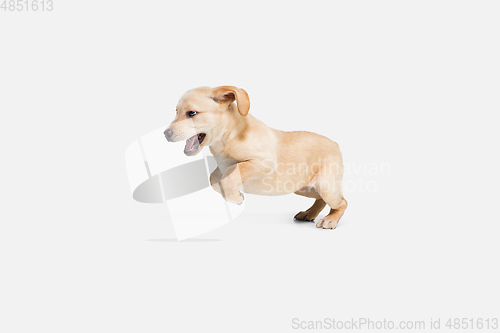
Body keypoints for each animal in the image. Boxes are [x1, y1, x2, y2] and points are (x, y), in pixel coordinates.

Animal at [165, 85, 348, 228]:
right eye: (176, 112)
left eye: (192, 113)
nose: (165, 134)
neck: (227, 136)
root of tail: (335, 143)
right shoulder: (221, 167)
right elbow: (215, 178)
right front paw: (237, 197)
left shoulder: (263, 161)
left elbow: (232, 174)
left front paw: (234, 197)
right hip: (303, 188)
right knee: (321, 200)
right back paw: (309, 213)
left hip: (326, 186)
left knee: (342, 202)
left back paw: (330, 220)